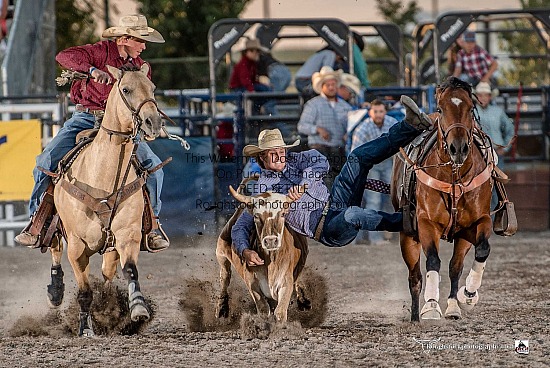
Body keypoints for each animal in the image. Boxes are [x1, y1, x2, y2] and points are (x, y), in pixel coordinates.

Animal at [49, 64, 163, 334]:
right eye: (126, 89)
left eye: (152, 88)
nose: (153, 122)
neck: (103, 176)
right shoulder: (77, 245)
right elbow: (84, 292)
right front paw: (85, 328)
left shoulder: (127, 234)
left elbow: (130, 270)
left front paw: (137, 308)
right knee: (53, 246)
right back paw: (56, 290)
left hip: (110, 245)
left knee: (108, 271)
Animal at [392, 78, 496, 322]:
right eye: (441, 109)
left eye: (471, 108)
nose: (458, 148)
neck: (454, 179)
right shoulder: (426, 223)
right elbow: (432, 260)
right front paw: (431, 306)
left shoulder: (475, 223)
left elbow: (479, 251)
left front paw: (467, 296)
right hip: (407, 235)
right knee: (415, 277)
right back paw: (415, 316)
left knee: (455, 266)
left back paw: (453, 306)